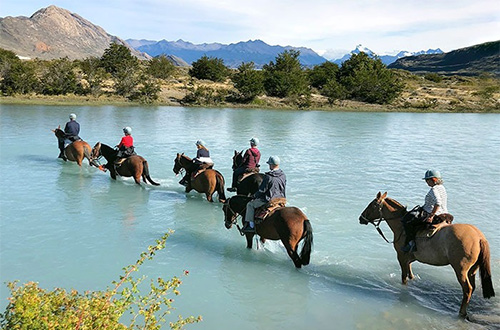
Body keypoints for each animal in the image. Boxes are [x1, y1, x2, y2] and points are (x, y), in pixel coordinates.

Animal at [358, 192, 494, 318]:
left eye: (372, 205)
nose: (361, 218)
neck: (401, 226)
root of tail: (479, 237)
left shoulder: (401, 257)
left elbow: (404, 277)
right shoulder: (409, 259)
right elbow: (410, 274)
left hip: (460, 270)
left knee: (467, 289)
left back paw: (462, 312)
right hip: (473, 269)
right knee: (472, 287)